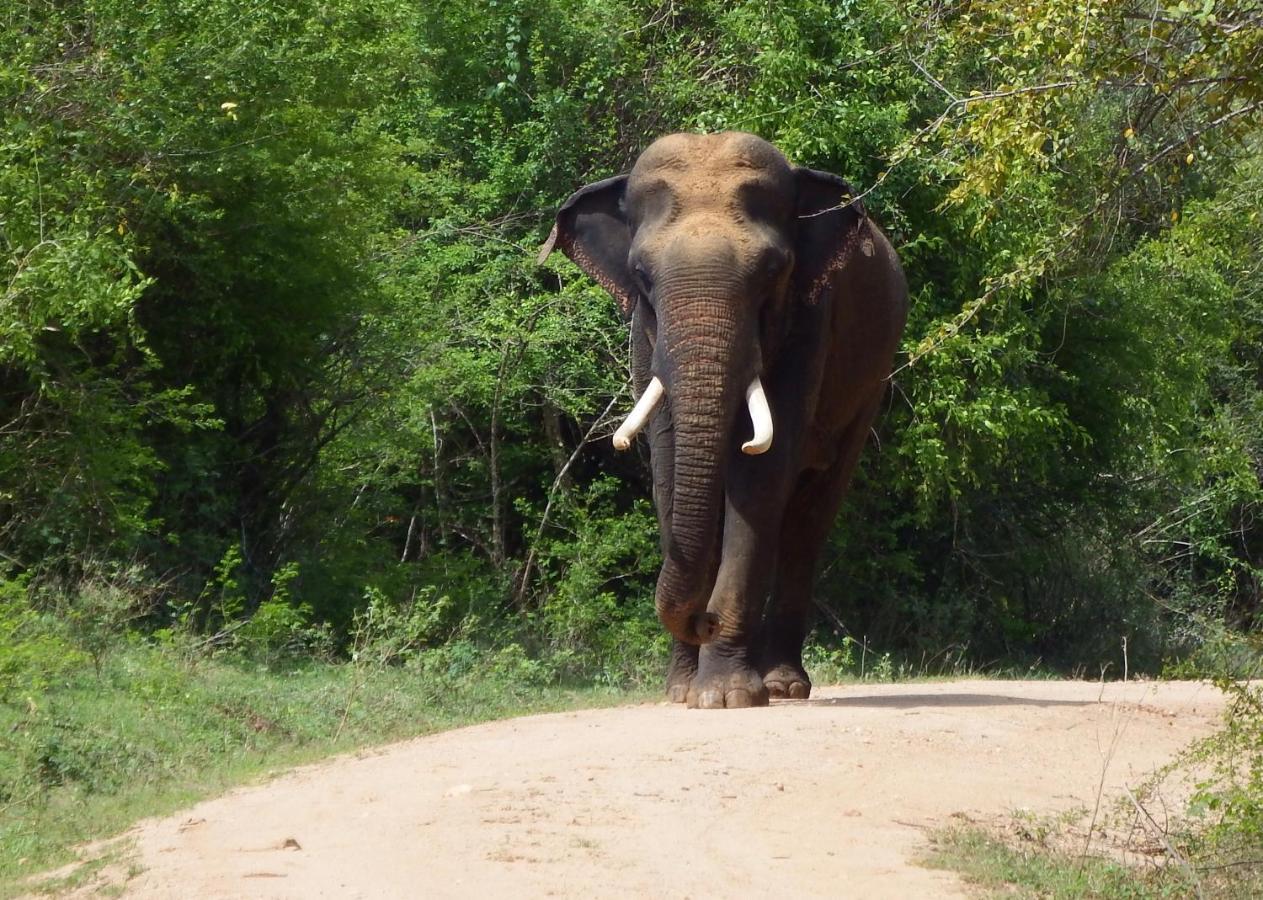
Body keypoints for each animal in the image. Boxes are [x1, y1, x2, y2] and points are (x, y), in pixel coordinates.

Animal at [538, 133, 904, 706]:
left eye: (773, 272)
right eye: (640, 275)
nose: (703, 620)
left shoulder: (811, 320)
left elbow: (760, 476)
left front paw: (728, 697)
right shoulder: (645, 334)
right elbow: (668, 467)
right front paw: (683, 694)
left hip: (872, 380)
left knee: (810, 515)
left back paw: (783, 686)